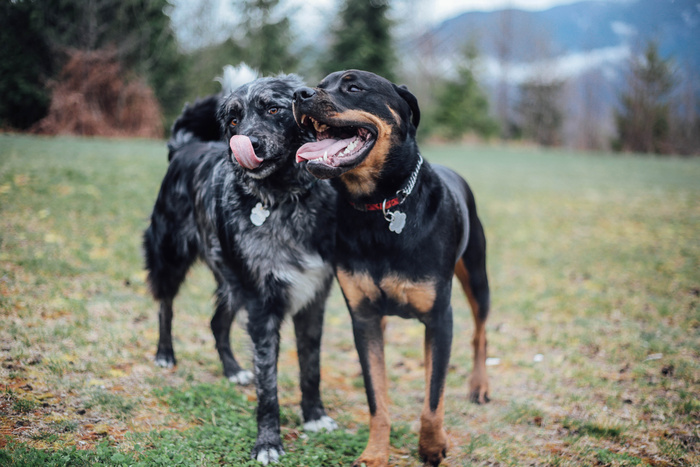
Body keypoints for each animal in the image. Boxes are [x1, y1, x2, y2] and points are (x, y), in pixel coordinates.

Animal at [292, 70, 490, 467]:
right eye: (320, 84)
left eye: (354, 87)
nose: (299, 93)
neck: (378, 204)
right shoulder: (364, 317)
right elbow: (376, 396)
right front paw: (374, 453)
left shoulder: (439, 318)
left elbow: (433, 397)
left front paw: (431, 447)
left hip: (477, 275)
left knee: (480, 332)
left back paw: (479, 386)